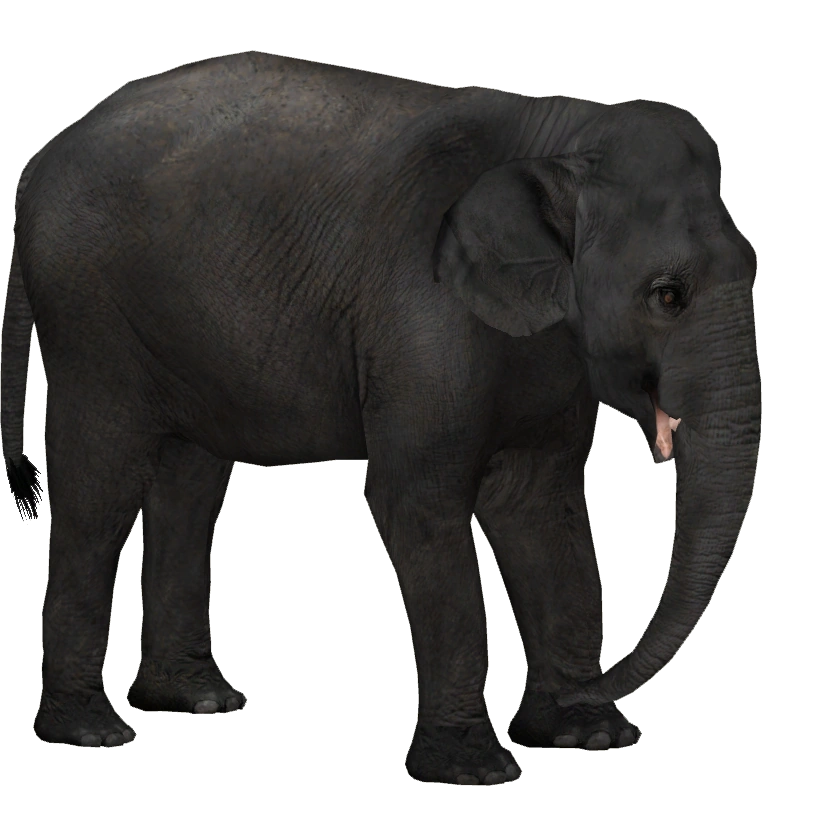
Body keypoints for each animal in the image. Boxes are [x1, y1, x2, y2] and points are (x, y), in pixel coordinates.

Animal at [0, 51, 760, 785]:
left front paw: (585, 735)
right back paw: (92, 731)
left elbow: (540, 505)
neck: (561, 136)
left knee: (188, 478)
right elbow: (417, 501)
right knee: (100, 483)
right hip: (89, 316)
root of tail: (36, 162)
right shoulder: (420, 314)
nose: (595, 685)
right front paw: (475, 768)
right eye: (667, 295)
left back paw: (199, 697)